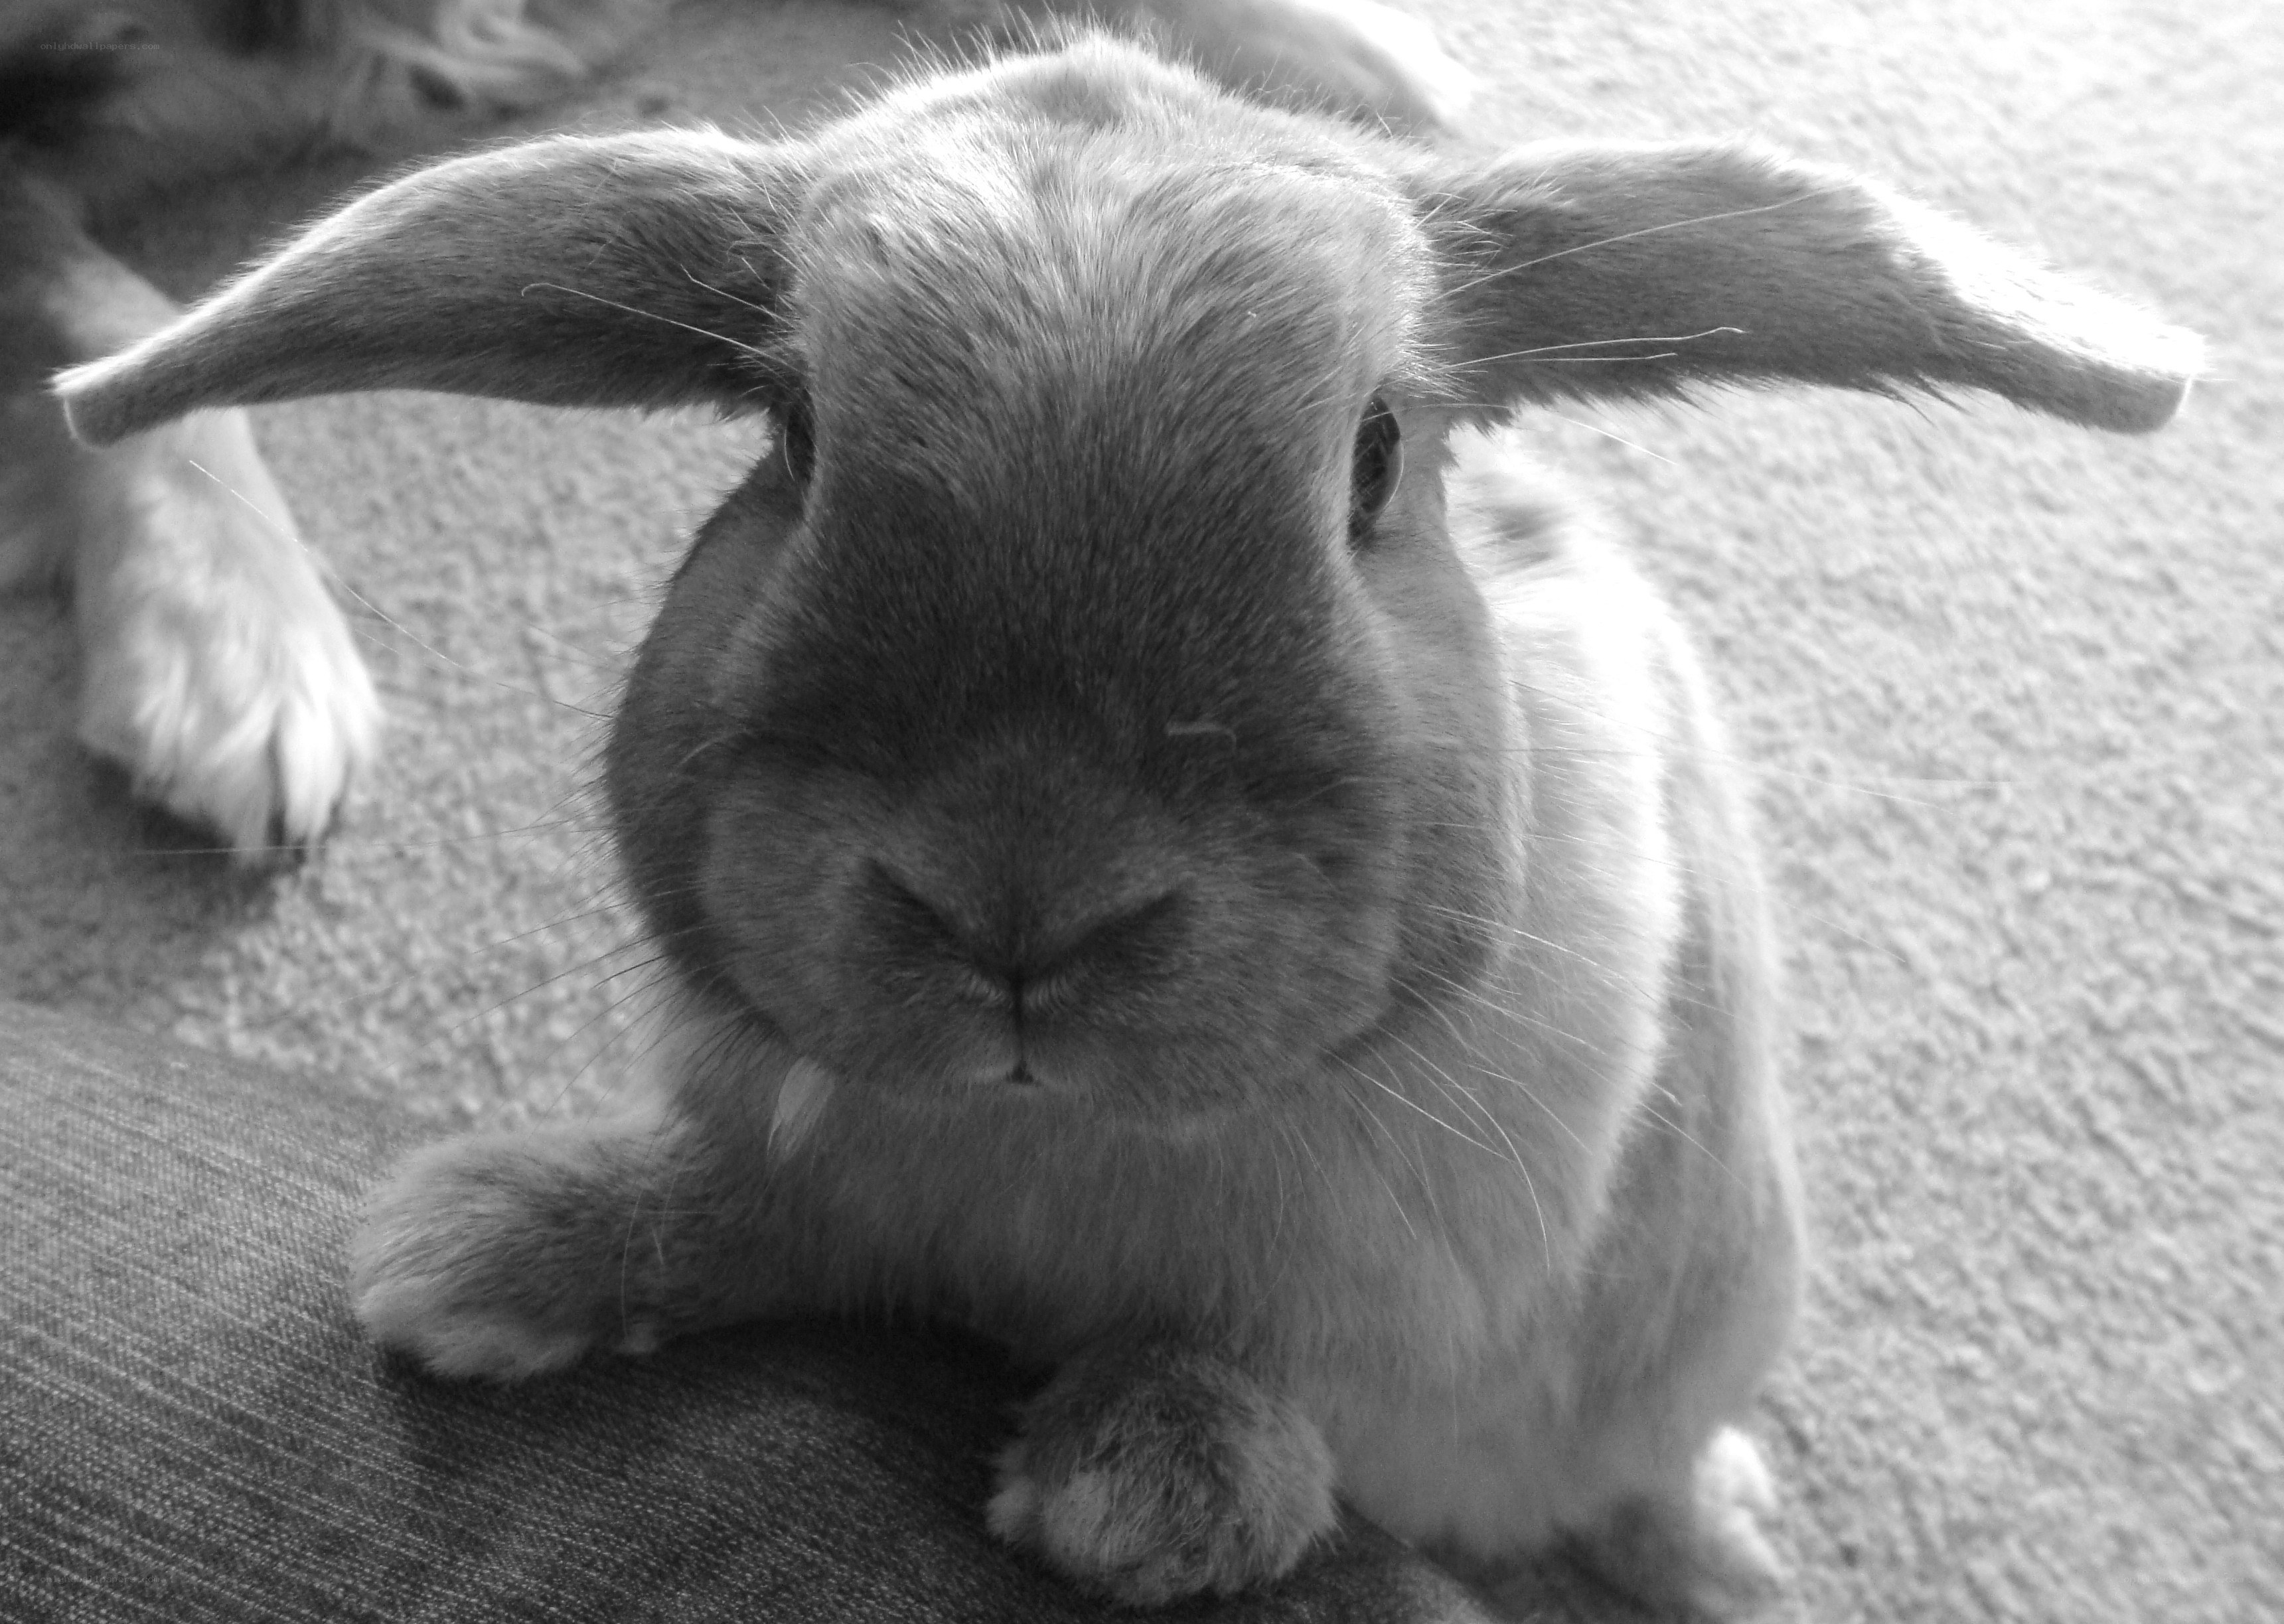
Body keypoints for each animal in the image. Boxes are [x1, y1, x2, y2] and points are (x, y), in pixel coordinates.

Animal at [55, 29, 2199, 1616]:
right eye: (791, 437)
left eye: (1373, 459)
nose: (1021, 904)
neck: (1048, 1146)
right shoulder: (810, 1173)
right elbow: (735, 1208)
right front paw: (481, 1250)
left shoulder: (1403, 1285)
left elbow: (1281, 1362)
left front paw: (1148, 1482)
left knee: (1628, 1453)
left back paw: (1721, 1547)